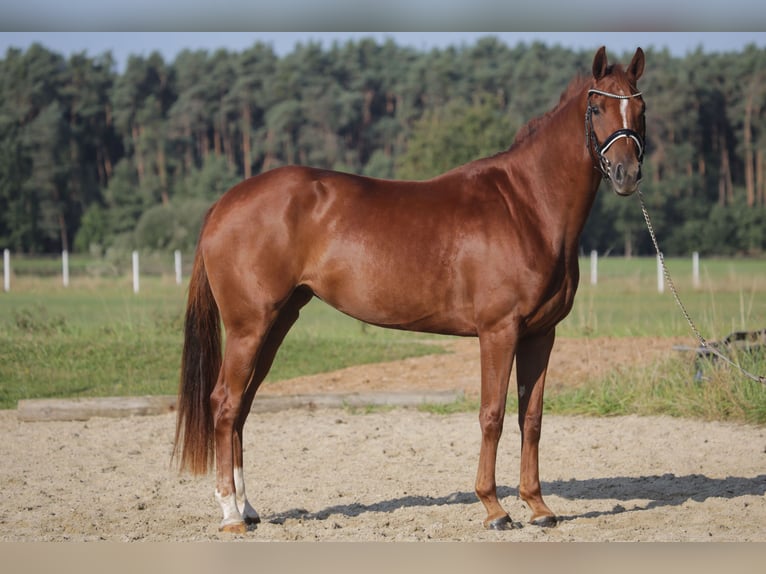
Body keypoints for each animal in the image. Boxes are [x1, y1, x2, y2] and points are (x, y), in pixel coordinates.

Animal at [174, 46, 648, 536]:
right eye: (597, 108)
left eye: (641, 109)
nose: (627, 173)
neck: (526, 206)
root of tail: (225, 203)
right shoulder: (498, 332)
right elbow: (492, 415)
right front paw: (494, 508)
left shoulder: (541, 334)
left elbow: (530, 418)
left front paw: (538, 506)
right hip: (248, 326)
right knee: (225, 404)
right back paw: (231, 514)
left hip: (276, 323)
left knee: (243, 407)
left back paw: (248, 508)